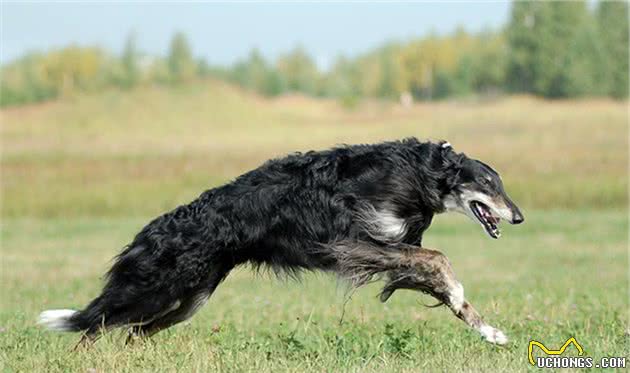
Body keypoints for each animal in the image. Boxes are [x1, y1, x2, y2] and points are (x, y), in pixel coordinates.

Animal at [38, 139, 524, 346]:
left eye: (501, 184)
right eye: (488, 184)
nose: (518, 216)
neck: (421, 172)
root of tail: (153, 229)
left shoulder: (390, 249)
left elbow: (439, 279)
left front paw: (490, 331)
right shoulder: (354, 243)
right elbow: (439, 260)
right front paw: (469, 306)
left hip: (188, 300)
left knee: (130, 331)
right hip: (157, 288)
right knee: (95, 325)